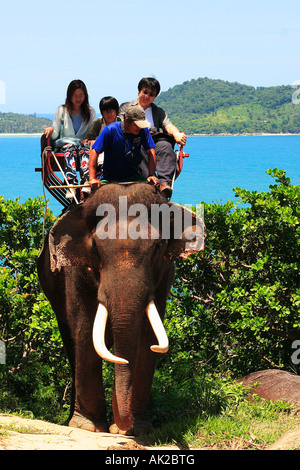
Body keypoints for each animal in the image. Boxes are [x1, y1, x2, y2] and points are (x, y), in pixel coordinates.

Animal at [37, 181, 205, 436]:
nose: (122, 427)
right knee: (70, 341)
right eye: (96, 249)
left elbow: (148, 336)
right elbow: (85, 328)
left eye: (157, 247)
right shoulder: (75, 273)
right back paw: (72, 419)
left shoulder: (164, 275)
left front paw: (136, 430)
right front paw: (88, 426)